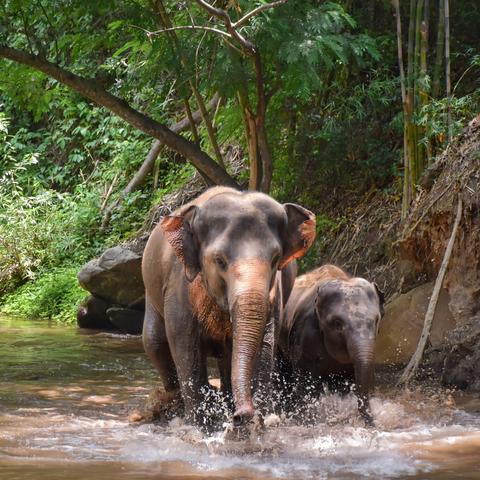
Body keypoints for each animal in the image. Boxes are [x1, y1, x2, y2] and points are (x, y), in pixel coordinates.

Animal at [142, 188, 316, 428]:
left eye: (275, 259)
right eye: (219, 260)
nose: (242, 415)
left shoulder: (275, 295)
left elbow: (265, 345)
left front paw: (256, 422)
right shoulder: (179, 287)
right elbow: (185, 345)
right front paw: (201, 426)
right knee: (154, 342)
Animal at [278, 266, 386, 424]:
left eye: (376, 320)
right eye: (337, 323)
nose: (373, 423)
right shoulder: (304, 335)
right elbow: (306, 384)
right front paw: (308, 421)